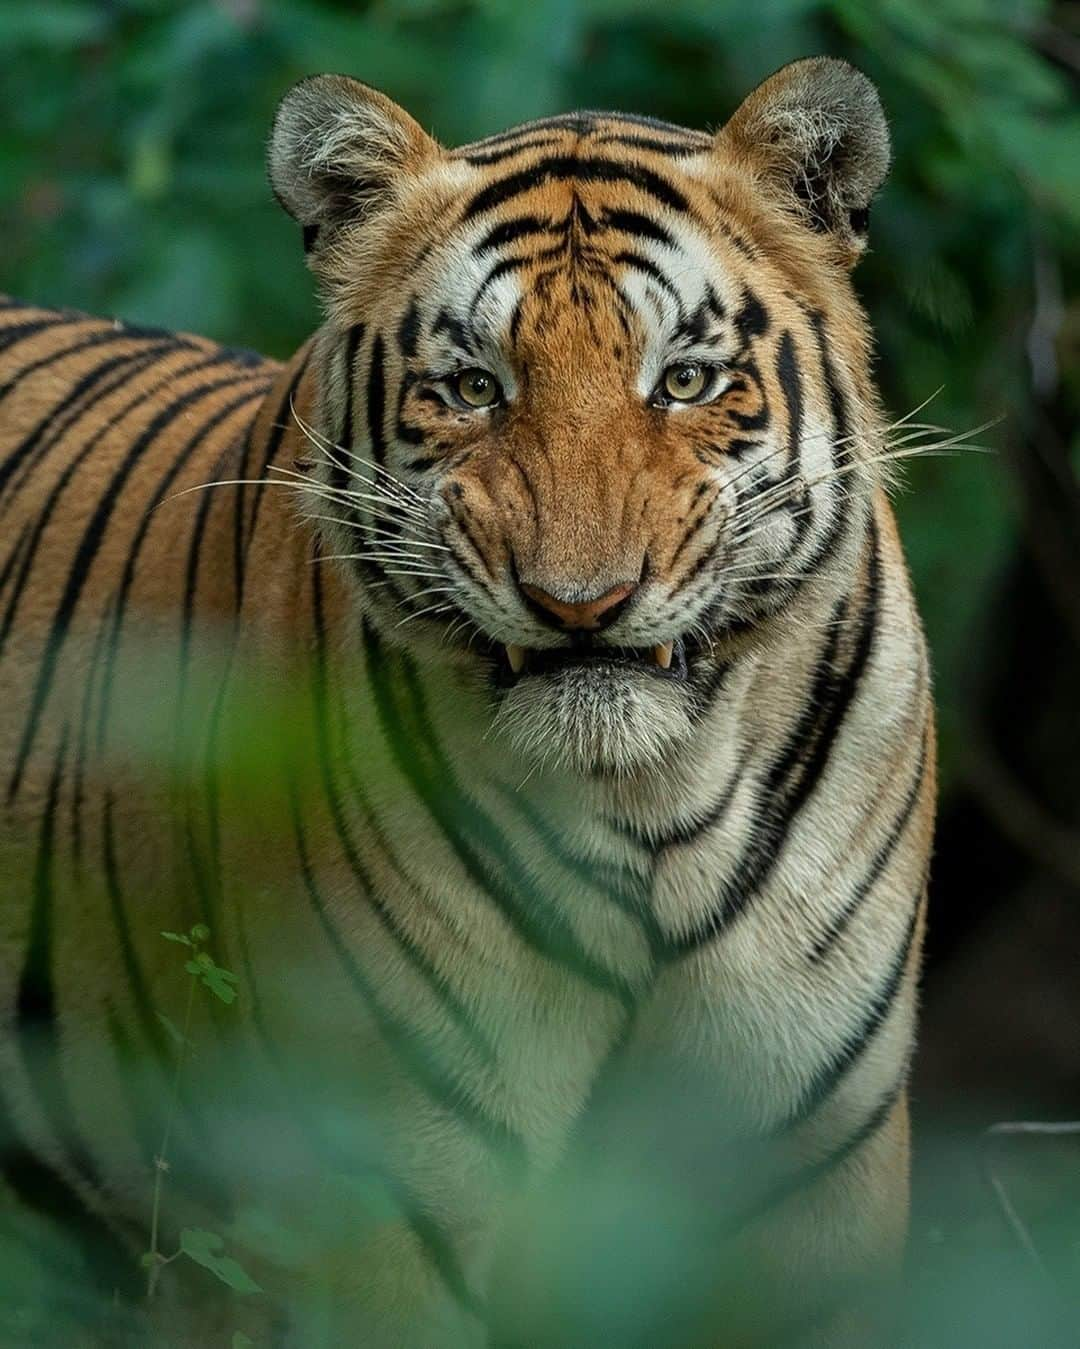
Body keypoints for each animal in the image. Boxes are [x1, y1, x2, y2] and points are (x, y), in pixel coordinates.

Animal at [0, 55, 933, 1349]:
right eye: (474, 388)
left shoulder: (813, 1189)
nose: (581, 603)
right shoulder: (390, 1195)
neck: (659, 801)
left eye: (685, 380)